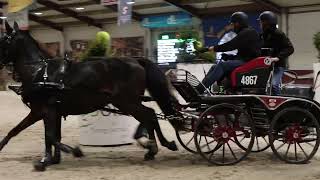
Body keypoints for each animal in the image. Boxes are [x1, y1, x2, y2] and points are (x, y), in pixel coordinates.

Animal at [0, 21, 182, 171]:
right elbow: (36, 134)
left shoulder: (42, 111)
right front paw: (53, 159)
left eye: (3, 39)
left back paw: (157, 146)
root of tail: (136, 60)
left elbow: (48, 136)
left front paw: (63, 155)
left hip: (127, 103)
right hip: (128, 103)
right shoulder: (50, 112)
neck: (39, 72)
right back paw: (153, 149)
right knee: (150, 117)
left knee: (149, 116)